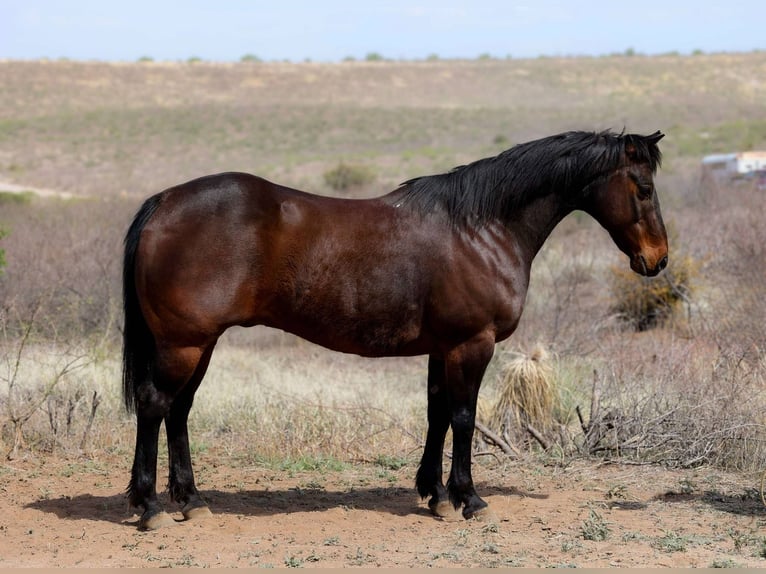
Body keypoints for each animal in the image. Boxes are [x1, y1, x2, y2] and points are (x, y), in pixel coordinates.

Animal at [122, 129, 668, 530]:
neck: (480, 228)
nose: (658, 260)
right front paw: (469, 498)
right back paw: (150, 507)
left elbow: (437, 414)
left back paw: (192, 501)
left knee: (178, 411)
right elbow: (464, 417)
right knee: (155, 405)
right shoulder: (472, 344)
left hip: (201, 343)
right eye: (643, 188)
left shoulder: (442, 348)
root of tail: (164, 202)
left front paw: (436, 493)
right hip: (184, 344)